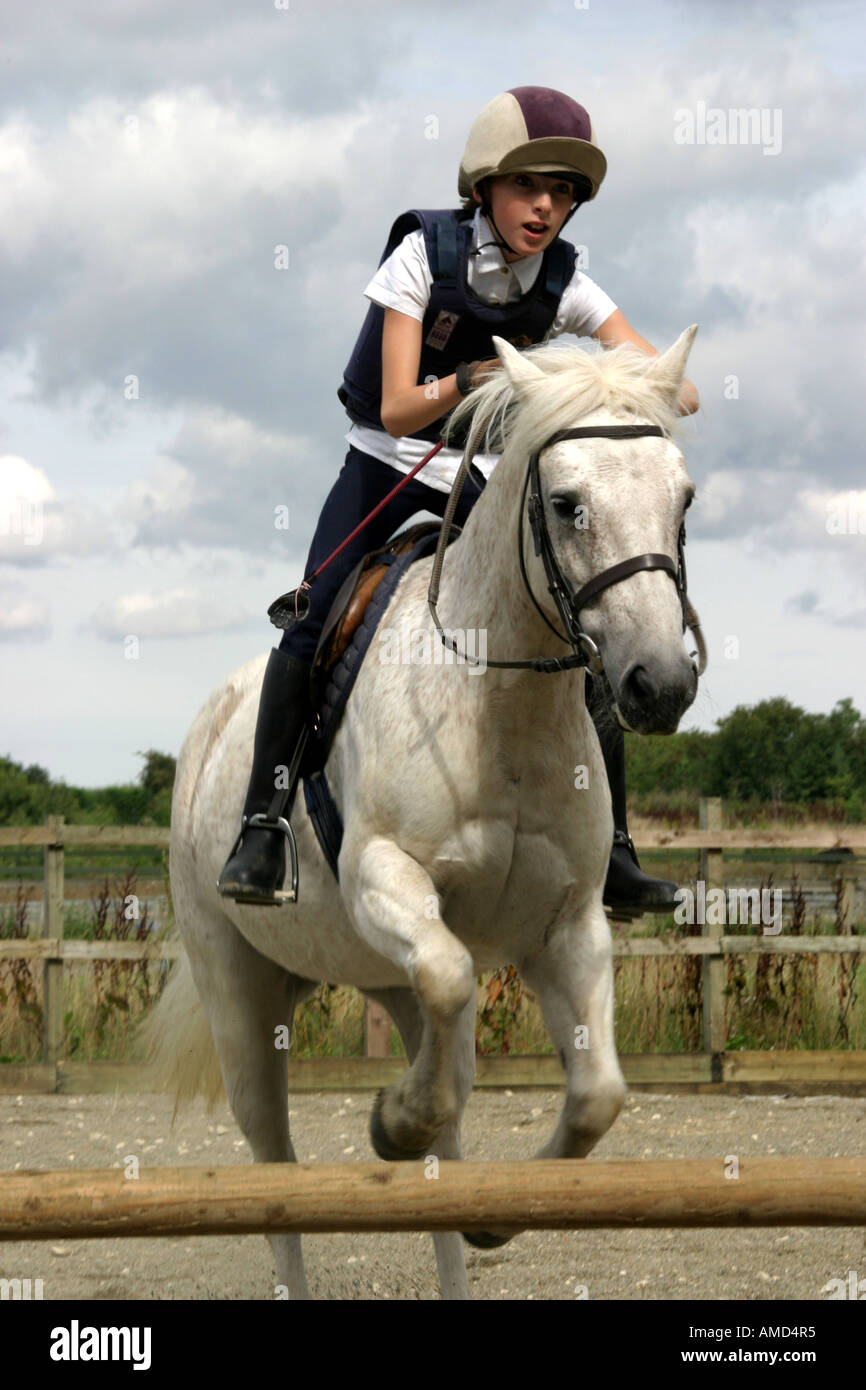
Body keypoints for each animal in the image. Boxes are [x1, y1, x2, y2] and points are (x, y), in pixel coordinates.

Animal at [147, 328, 706, 1301]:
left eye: (683, 497)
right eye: (567, 504)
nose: (660, 685)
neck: (501, 708)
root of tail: (207, 724)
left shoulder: (568, 929)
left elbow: (596, 1094)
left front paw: (494, 1210)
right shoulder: (386, 879)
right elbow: (448, 980)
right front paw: (390, 1119)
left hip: (376, 977)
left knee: (443, 1106)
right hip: (240, 990)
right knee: (274, 1170)